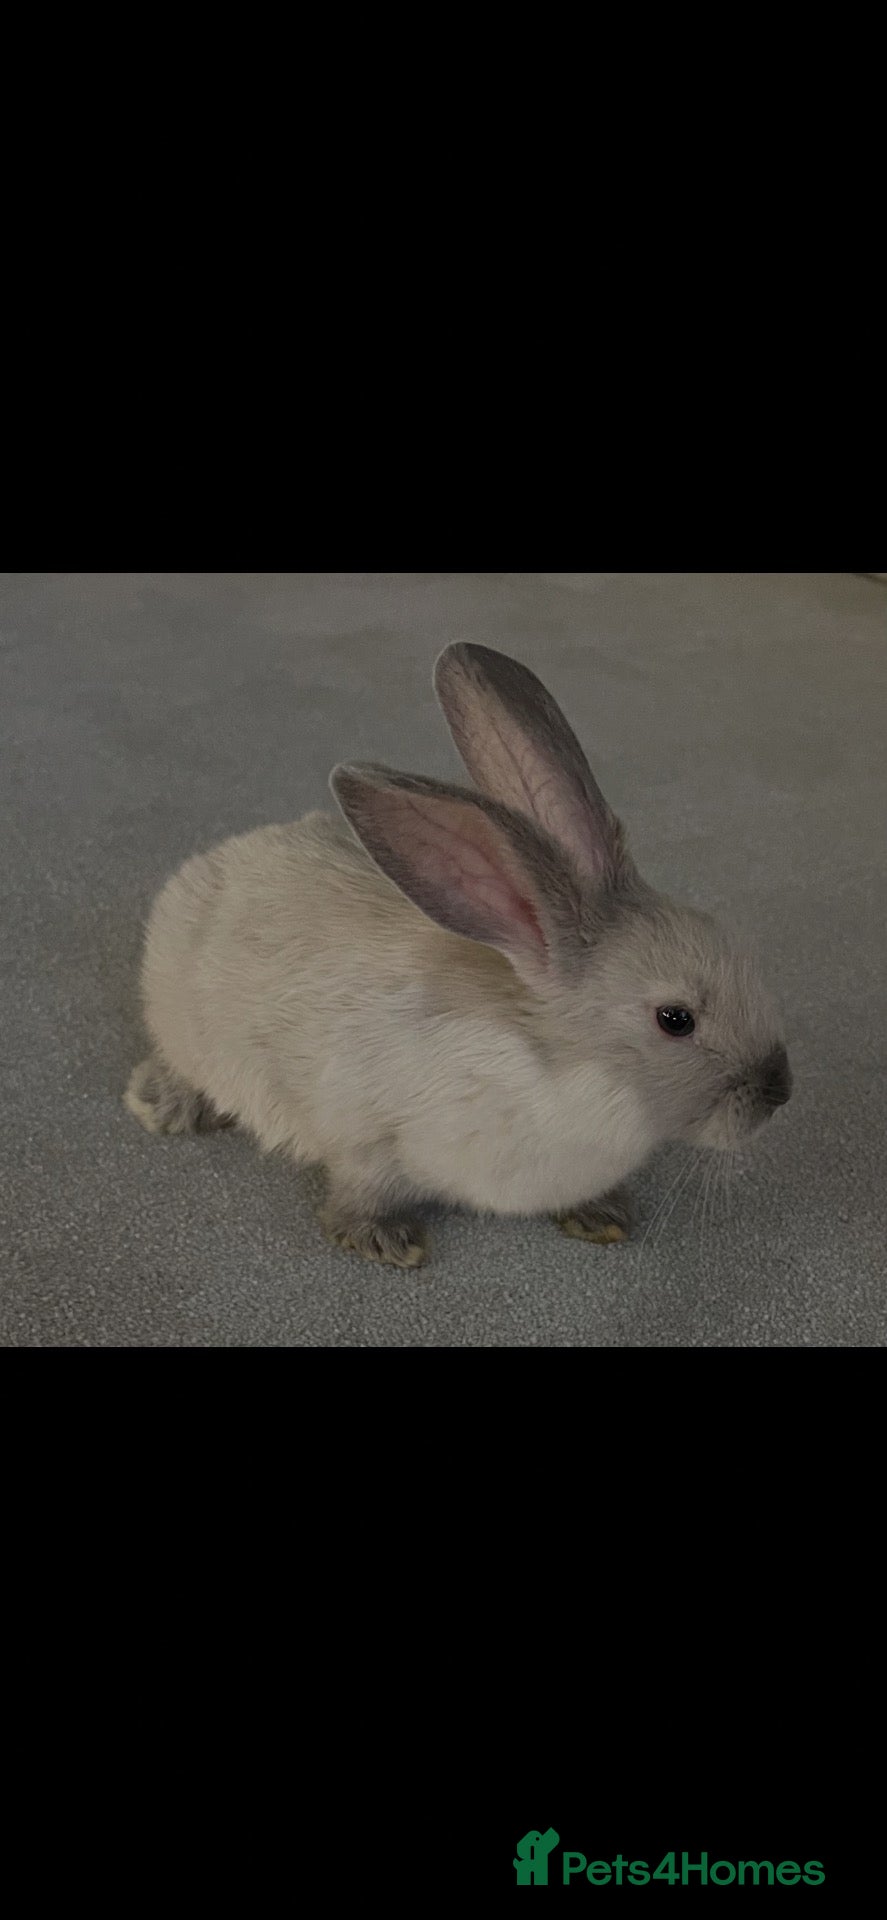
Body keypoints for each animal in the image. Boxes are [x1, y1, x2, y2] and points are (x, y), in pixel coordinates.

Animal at [124, 641, 791, 1268]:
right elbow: (360, 1190)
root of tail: (211, 861)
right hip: (187, 1029)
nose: (779, 1090)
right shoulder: (370, 1137)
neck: (569, 1072)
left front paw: (601, 1217)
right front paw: (384, 1242)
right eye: (675, 1020)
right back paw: (162, 1106)